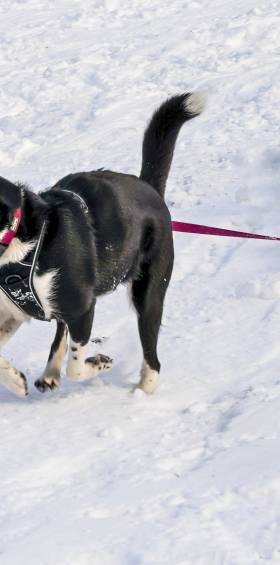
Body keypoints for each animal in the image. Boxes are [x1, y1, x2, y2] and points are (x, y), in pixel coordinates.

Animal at [0, 91, 206, 396]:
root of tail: (150, 188)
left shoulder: (84, 306)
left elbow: (76, 367)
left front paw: (99, 363)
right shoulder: (12, 313)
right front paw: (15, 380)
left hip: (148, 293)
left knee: (151, 354)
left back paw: (144, 390)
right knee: (61, 330)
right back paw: (50, 374)